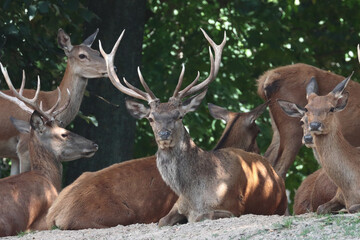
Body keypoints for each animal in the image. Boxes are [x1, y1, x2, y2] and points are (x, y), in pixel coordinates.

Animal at [0, 28, 106, 175]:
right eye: (82, 55)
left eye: (97, 52)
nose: (113, 67)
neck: (49, 102)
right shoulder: (23, 147)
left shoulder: (14, 155)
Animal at [99, 29, 286, 225]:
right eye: (150, 118)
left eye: (179, 116)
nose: (164, 134)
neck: (193, 194)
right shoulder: (177, 205)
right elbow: (161, 222)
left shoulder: (233, 206)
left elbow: (201, 217)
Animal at [276, 75, 360, 214]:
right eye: (306, 108)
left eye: (331, 108)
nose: (314, 125)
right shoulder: (338, 196)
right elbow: (321, 208)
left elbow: (351, 208)